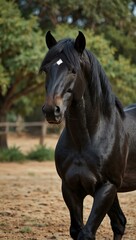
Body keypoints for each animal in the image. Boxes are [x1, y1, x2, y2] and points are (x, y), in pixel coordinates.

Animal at [40, 31, 136, 240]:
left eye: (73, 70)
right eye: (46, 69)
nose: (51, 110)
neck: (88, 138)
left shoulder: (107, 188)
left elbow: (87, 233)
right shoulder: (71, 188)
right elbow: (78, 230)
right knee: (119, 223)